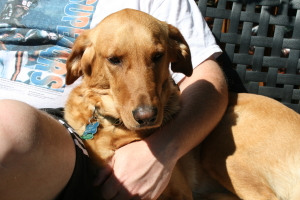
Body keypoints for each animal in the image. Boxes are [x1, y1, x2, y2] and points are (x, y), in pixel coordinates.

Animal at [64, 8, 300, 200]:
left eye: (158, 56)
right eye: (113, 59)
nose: (146, 117)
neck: (115, 128)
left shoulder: (181, 193)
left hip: (221, 148)